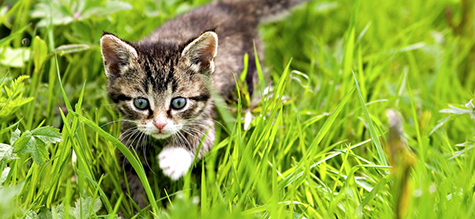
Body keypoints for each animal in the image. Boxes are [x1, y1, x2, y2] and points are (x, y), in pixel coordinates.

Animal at [101, 0, 308, 207]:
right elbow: (132, 171)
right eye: (141, 103)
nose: (160, 124)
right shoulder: (128, 132)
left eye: (178, 103)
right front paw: (137, 206)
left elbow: (201, 136)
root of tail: (231, 7)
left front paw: (174, 158)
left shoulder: (206, 113)